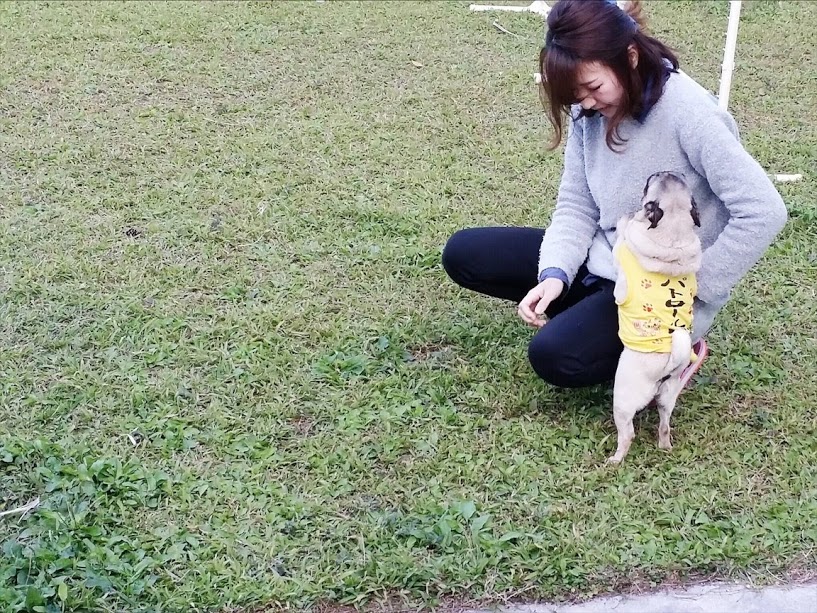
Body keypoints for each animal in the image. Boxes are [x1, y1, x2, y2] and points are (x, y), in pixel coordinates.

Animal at [604, 171, 700, 464]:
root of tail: (669, 364)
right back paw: (664, 446)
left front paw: (625, 220)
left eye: (651, 182)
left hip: (623, 399)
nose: (668, 170)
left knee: (628, 435)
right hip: (669, 396)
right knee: (665, 425)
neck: (674, 235)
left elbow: (624, 234)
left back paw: (615, 460)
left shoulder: (621, 263)